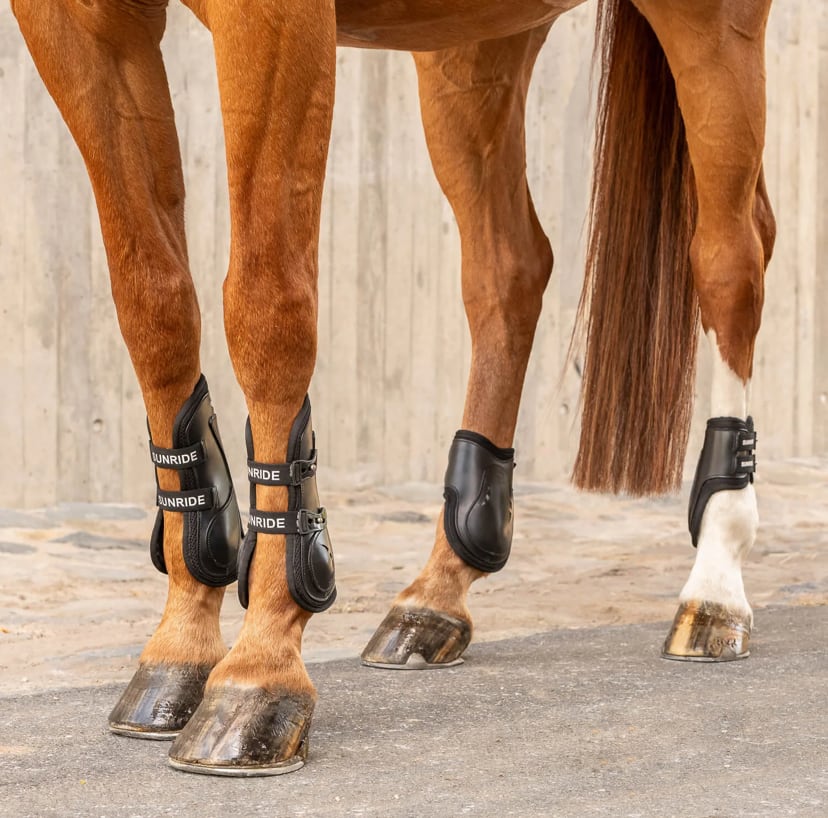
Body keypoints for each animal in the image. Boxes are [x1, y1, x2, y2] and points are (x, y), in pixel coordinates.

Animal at [11, 0, 776, 776]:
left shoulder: (275, 25)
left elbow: (267, 306)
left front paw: (259, 674)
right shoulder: (79, 29)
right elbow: (153, 304)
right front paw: (181, 649)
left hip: (711, 27)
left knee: (729, 256)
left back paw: (715, 587)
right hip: (472, 51)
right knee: (509, 266)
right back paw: (435, 595)